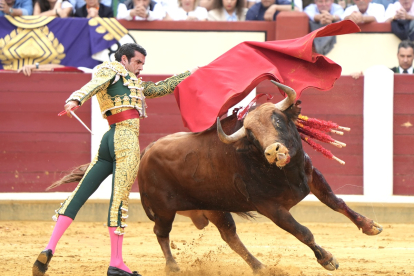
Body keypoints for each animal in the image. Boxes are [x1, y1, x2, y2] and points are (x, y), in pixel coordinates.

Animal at [138, 81, 382, 272]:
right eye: (252, 136)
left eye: (278, 121)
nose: (273, 151)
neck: (286, 174)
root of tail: (147, 150)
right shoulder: (271, 208)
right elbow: (303, 232)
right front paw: (327, 259)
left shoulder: (312, 176)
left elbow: (336, 202)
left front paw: (369, 225)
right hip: (164, 210)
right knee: (161, 233)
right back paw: (172, 266)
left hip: (215, 208)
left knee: (230, 236)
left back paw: (260, 267)